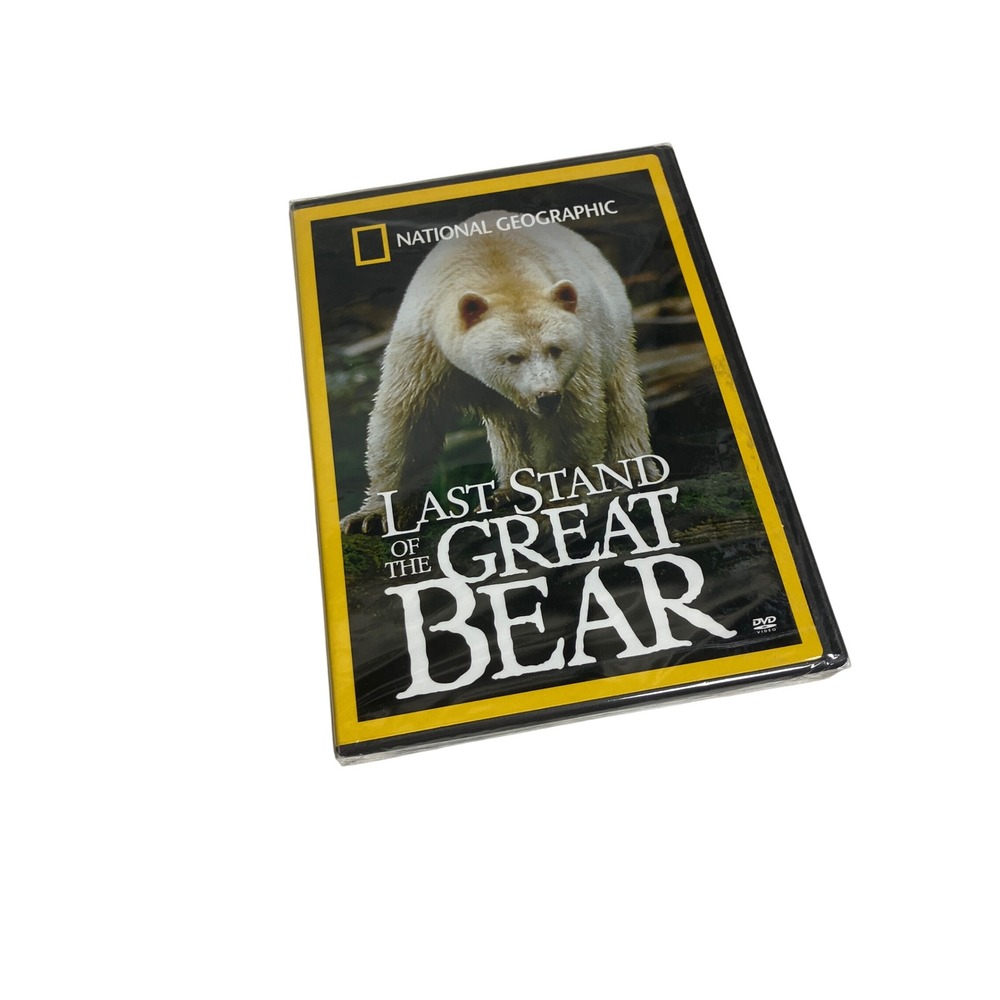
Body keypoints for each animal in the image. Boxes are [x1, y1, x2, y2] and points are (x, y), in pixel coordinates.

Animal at [340, 210, 651, 534]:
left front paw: (561, 504)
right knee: (509, 429)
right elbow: (409, 421)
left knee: (623, 400)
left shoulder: (578, 360)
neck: (498, 269)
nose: (547, 396)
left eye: (555, 349)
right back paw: (510, 491)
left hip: (612, 331)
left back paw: (631, 472)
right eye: (513, 357)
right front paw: (373, 516)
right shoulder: (426, 349)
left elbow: (568, 423)